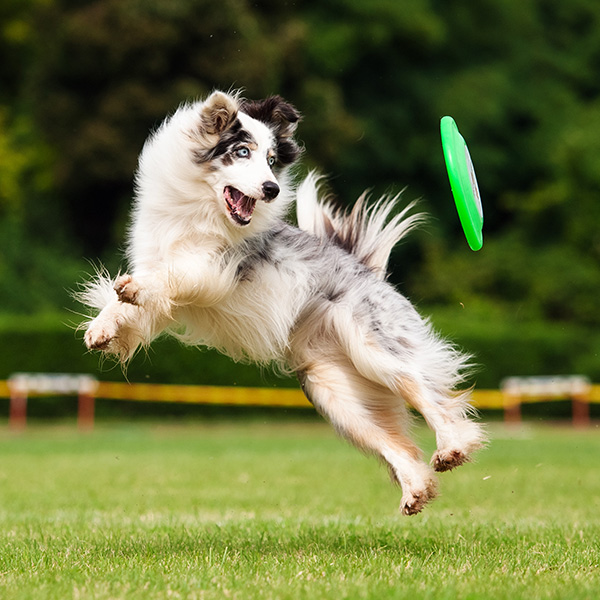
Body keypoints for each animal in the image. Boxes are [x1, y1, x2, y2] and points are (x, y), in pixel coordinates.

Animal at [82, 91, 486, 512]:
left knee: (427, 392)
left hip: (375, 348)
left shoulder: (215, 267)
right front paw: (102, 328)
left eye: (272, 160)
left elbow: (170, 276)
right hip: (334, 391)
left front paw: (133, 290)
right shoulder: (162, 278)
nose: (272, 188)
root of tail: (365, 269)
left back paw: (453, 446)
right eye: (242, 152)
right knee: (393, 442)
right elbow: (130, 304)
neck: (197, 209)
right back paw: (415, 489)